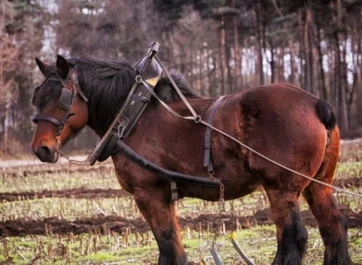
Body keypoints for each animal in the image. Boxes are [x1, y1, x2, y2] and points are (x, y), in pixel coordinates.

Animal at [29, 54, 352, 264]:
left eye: (61, 97)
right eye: (37, 96)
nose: (40, 149)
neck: (136, 115)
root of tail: (316, 103)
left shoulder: (149, 193)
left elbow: (169, 248)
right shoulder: (164, 196)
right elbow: (174, 247)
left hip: (281, 188)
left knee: (292, 239)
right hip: (317, 184)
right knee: (332, 228)